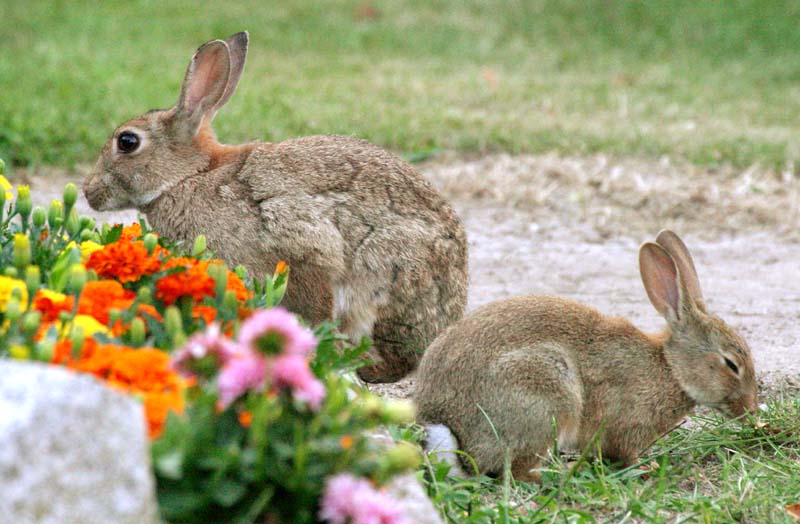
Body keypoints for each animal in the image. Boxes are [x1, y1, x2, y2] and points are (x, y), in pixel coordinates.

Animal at [81, 33, 468, 384]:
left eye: (127, 141)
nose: (88, 192)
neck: (189, 175)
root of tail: (448, 315)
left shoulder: (302, 246)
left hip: (385, 275)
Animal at [416, 231, 760, 482]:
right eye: (732, 365)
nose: (750, 411)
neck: (671, 369)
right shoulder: (625, 424)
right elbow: (625, 453)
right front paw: (646, 468)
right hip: (546, 392)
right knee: (518, 471)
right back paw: (561, 473)